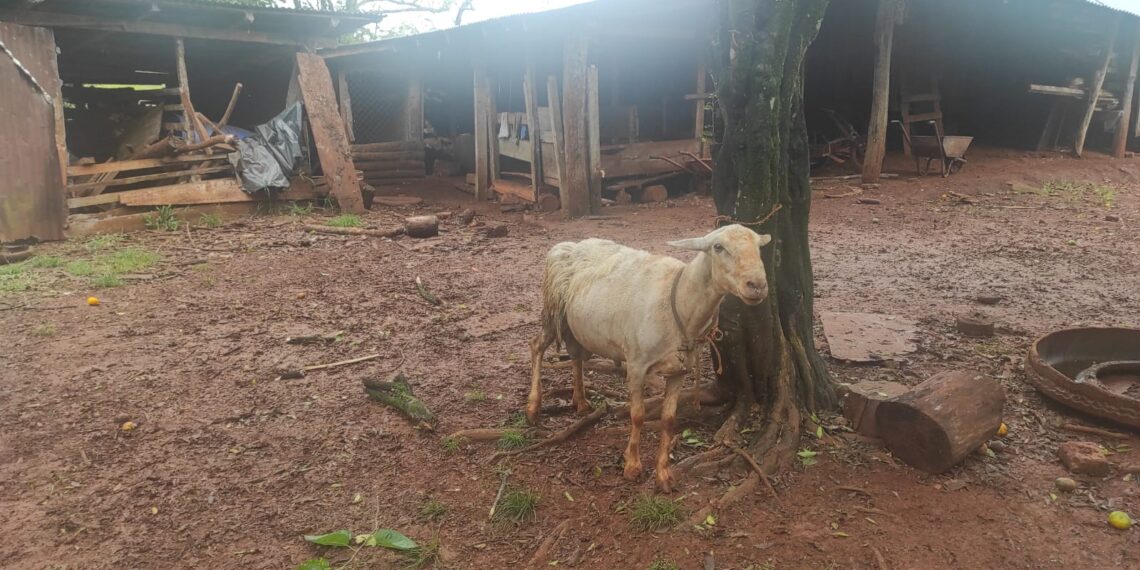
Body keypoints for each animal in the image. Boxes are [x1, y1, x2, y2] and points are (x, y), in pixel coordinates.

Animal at [527, 224, 772, 492]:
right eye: (718, 247)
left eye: (759, 246)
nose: (757, 285)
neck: (678, 302)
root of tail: (569, 245)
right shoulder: (636, 364)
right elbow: (638, 415)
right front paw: (632, 466)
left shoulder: (679, 371)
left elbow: (668, 419)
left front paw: (663, 474)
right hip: (552, 311)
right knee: (536, 347)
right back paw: (533, 408)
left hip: (575, 324)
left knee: (575, 355)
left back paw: (580, 401)